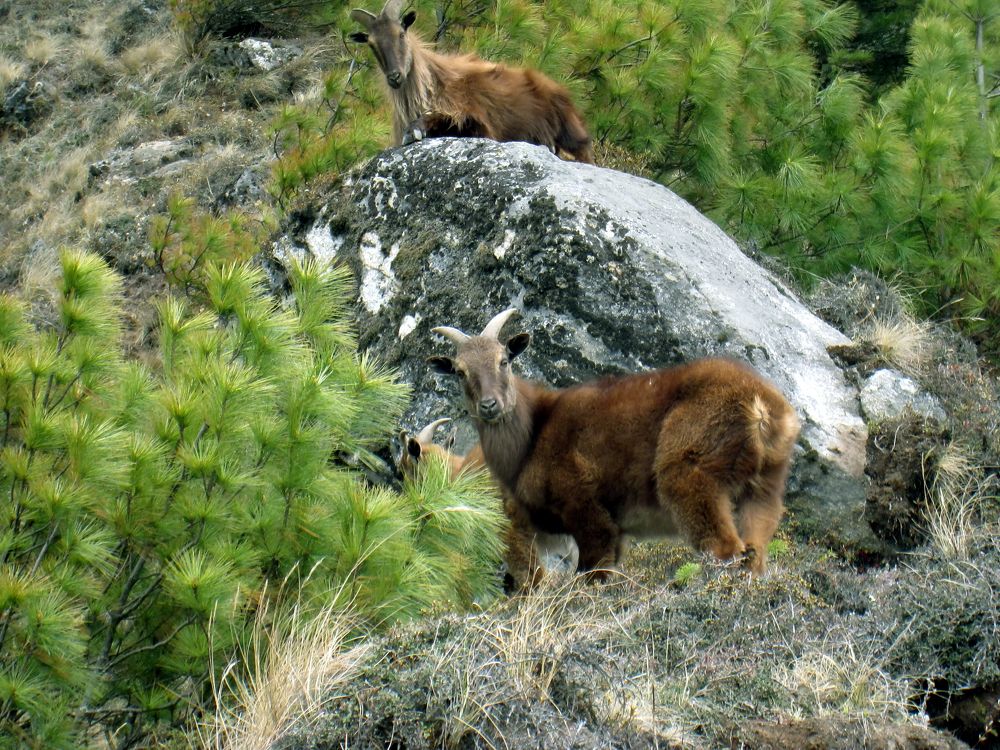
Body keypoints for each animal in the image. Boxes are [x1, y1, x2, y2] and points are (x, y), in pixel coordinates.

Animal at [349, 0, 594, 163]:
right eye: (372, 44)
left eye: (401, 33)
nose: (395, 77)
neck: (431, 86)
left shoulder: (477, 120)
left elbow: (451, 121)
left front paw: (415, 131)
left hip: (569, 129)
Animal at [427, 309, 801, 577]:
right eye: (459, 371)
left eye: (504, 360)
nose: (490, 406)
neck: (532, 435)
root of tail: (761, 405)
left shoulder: (584, 506)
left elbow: (593, 571)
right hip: (765, 487)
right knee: (754, 552)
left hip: (689, 471)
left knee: (724, 548)